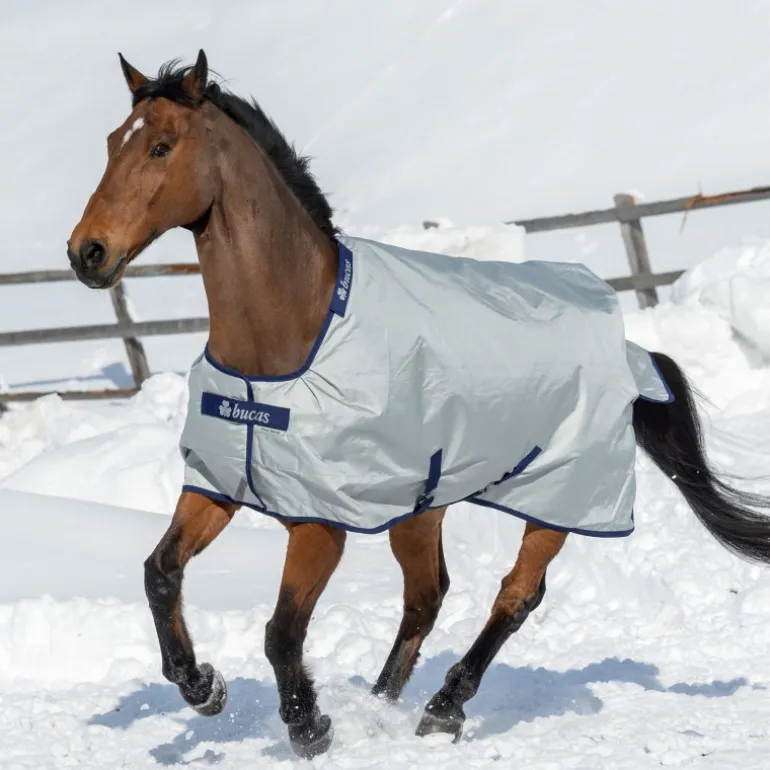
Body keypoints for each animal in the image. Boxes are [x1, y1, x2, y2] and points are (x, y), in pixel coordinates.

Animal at [67, 50, 770, 759]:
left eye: (161, 146)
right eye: (111, 143)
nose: (87, 252)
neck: (287, 342)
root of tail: (629, 348)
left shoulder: (320, 525)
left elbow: (282, 630)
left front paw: (309, 726)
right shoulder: (218, 485)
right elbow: (160, 572)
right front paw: (202, 686)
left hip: (557, 500)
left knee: (515, 595)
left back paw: (442, 709)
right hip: (421, 505)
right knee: (427, 596)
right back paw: (382, 707)